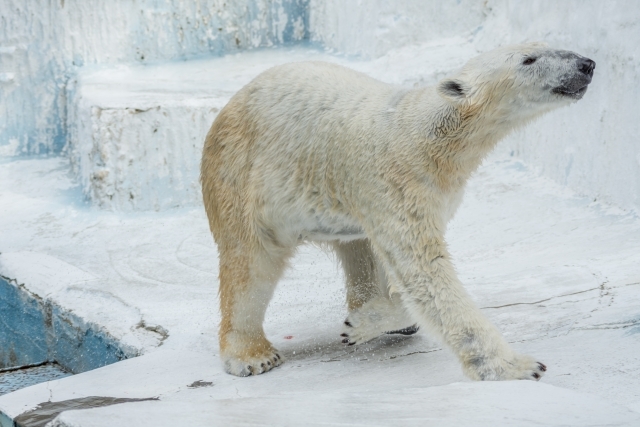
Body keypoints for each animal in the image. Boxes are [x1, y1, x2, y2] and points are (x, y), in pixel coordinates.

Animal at [200, 41, 596, 380]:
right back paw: (252, 356)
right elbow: (425, 270)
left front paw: (363, 322)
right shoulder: (395, 181)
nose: (586, 65)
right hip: (241, 178)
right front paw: (520, 366)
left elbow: (406, 273)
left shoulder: (427, 191)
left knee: (358, 249)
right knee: (251, 264)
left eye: (550, 45)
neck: (428, 135)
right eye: (528, 59)